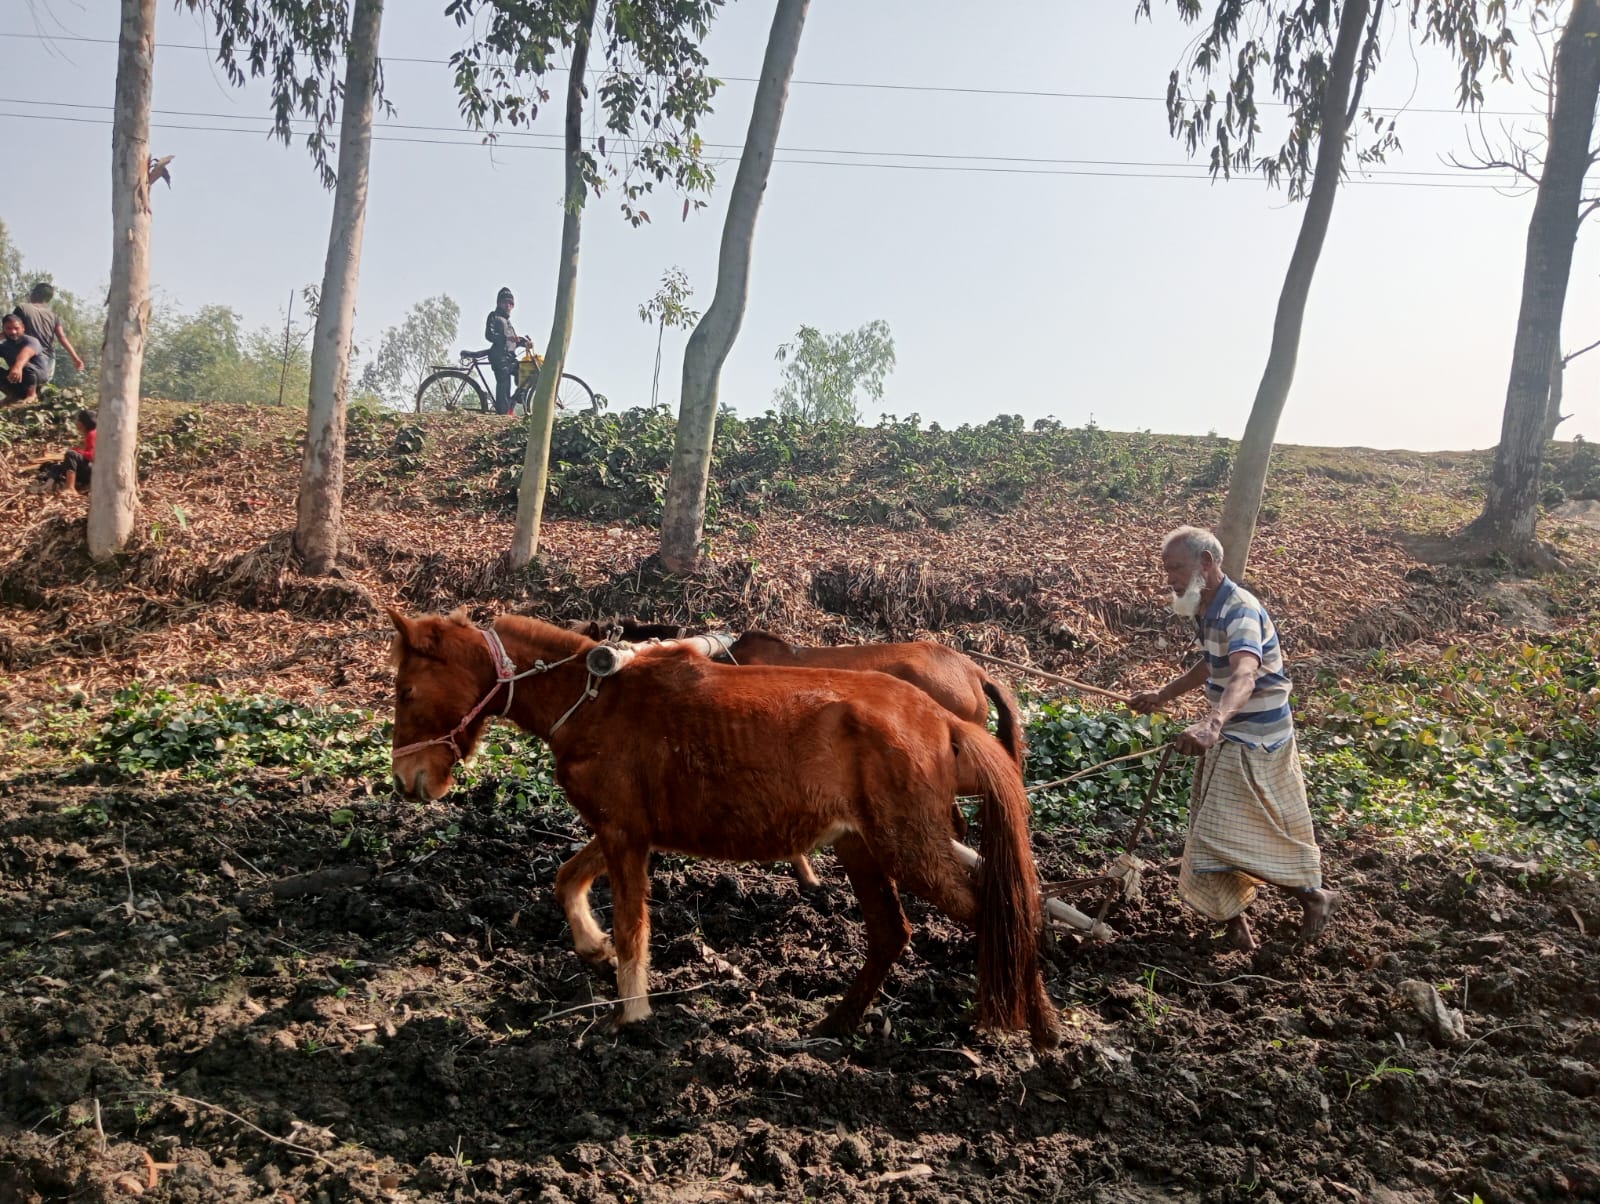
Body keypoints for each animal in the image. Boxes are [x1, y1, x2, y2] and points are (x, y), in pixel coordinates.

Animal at [388, 605, 1062, 1050]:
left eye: (406, 689)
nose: (405, 779)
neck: (599, 700)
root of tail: (944, 719)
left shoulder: (625, 835)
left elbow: (633, 927)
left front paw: (630, 1013)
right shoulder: (625, 829)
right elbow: (566, 879)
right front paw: (591, 947)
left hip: (910, 847)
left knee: (996, 909)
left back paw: (1042, 1025)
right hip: (863, 846)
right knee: (894, 933)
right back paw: (836, 1025)